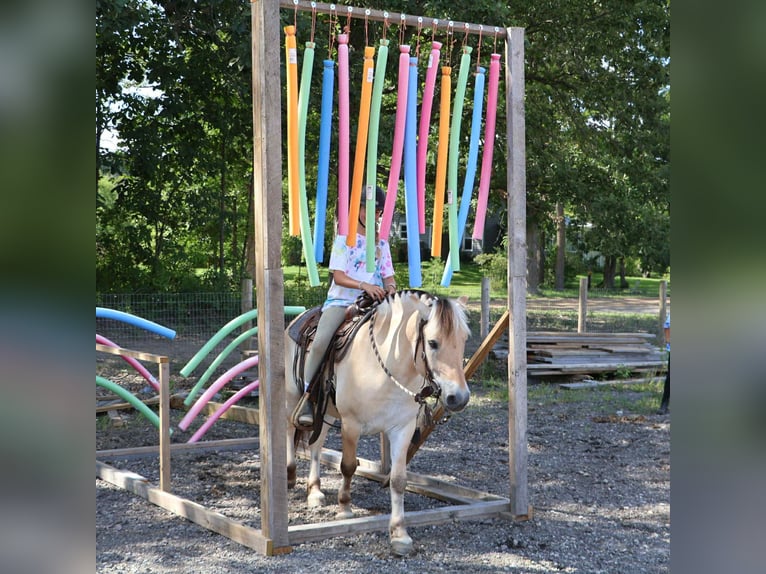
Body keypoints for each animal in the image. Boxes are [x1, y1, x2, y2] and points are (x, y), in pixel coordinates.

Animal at [284, 290, 471, 555]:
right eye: (433, 342)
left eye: (464, 339)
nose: (460, 397)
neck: (386, 368)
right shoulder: (351, 425)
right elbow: (348, 466)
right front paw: (345, 508)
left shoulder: (402, 429)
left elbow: (398, 479)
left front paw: (400, 535)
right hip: (292, 398)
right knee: (289, 430)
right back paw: (289, 476)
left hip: (327, 411)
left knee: (316, 446)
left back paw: (315, 492)